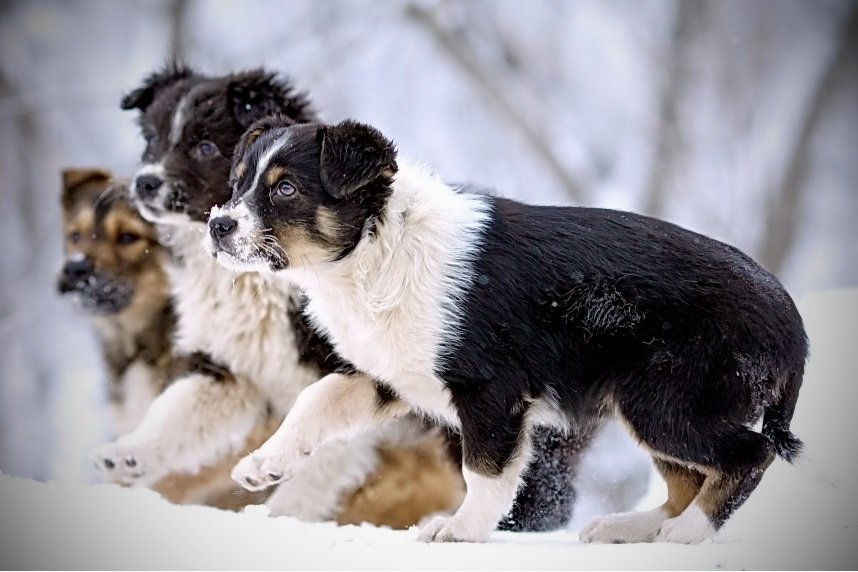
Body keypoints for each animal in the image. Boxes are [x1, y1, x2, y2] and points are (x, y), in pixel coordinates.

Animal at [209, 117, 808, 544]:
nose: (216, 225)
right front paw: (262, 466)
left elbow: (486, 470)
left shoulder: (490, 389)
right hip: (653, 403)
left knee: (748, 456)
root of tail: (794, 328)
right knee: (688, 479)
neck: (375, 250)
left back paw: (685, 534)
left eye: (286, 190)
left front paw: (460, 530)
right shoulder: (387, 372)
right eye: (236, 185)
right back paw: (634, 529)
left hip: (666, 400)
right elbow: (314, 402)